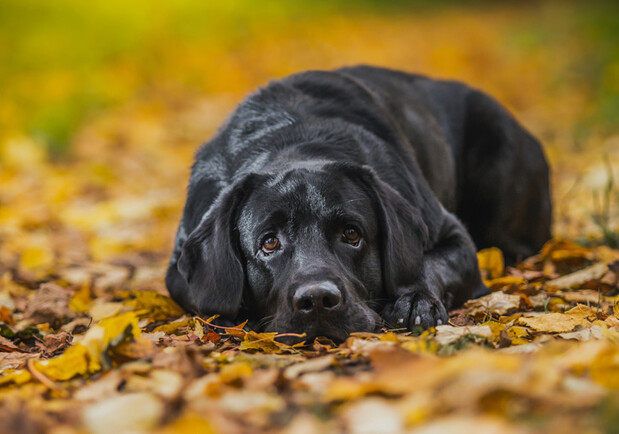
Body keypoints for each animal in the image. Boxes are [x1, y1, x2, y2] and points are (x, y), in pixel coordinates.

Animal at [166, 65, 552, 342]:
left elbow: (430, 263)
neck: (291, 142)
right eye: (269, 242)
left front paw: (416, 300)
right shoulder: (178, 269)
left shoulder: (452, 234)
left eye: (352, 234)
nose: (317, 301)